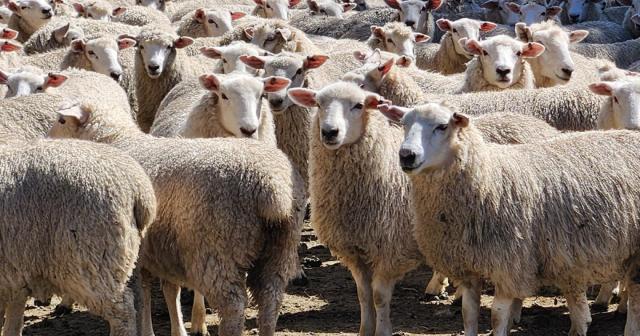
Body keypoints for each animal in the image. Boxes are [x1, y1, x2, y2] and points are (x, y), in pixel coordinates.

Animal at [0, 138, 156, 336]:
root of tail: (139, 190)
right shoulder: (12, 277)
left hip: (93, 260)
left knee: (123, 312)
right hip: (129, 260)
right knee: (139, 300)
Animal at [48, 98, 304, 336]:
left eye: (61, 120)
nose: (47, 139)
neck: (116, 141)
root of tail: (272, 189)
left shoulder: (140, 251)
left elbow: (144, 294)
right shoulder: (158, 249)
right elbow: (164, 291)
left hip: (218, 248)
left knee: (234, 306)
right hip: (280, 248)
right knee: (271, 299)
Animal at [388, 101, 640, 336]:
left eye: (442, 126)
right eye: (404, 124)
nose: (406, 155)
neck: (488, 178)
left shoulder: (509, 265)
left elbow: (497, 315)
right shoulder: (468, 267)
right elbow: (468, 314)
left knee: (635, 298)